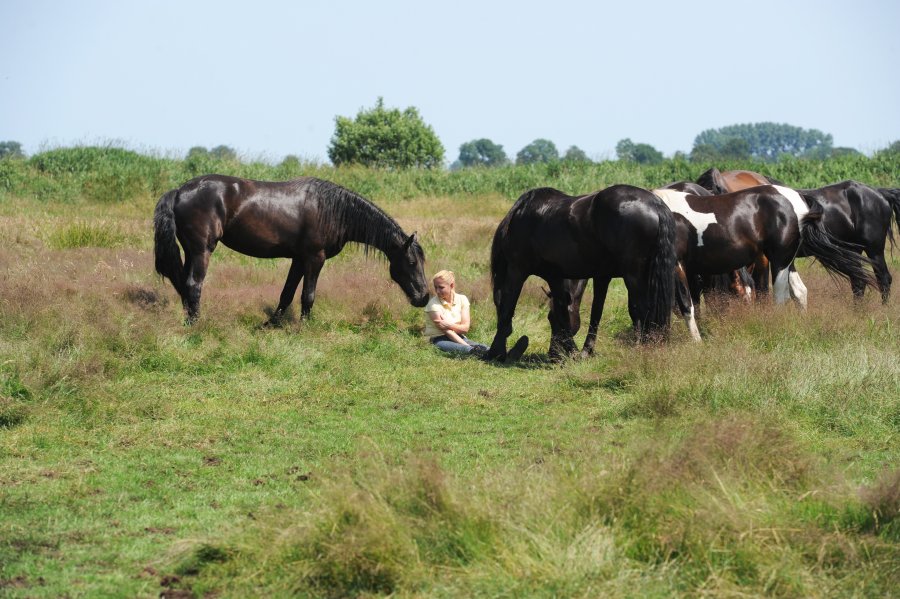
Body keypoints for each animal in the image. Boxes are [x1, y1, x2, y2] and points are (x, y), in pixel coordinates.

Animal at [153, 175, 430, 324]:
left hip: (191, 251)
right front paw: (304, 327)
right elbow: (308, 296)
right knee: (193, 285)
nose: (424, 297)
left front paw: (270, 324)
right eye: (411, 263)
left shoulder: (299, 259)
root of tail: (179, 191)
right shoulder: (315, 258)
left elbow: (286, 294)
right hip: (202, 251)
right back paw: (197, 325)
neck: (333, 210)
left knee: (183, 284)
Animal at [486, 184, 678, 361]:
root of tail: (656, 205)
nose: (553, 355)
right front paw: (583, 351)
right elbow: (592, 312)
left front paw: (496, 351)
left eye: (549, 318)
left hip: (634, 276)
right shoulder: (586, 277)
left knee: (644, 309)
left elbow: (508, 308)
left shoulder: (518, 269)